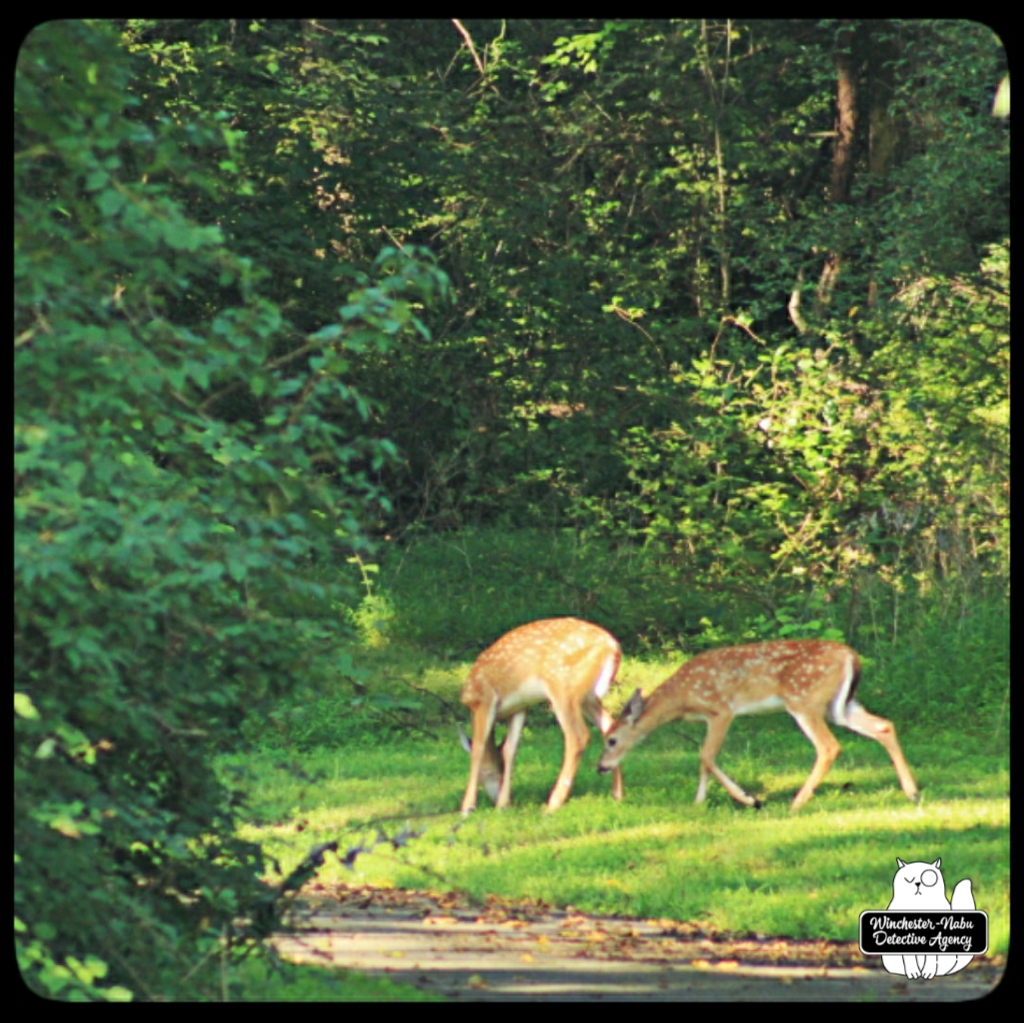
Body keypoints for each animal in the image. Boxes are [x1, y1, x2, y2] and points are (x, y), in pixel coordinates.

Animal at [459, 617, 625, 814]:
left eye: (489, 773)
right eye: (499, 768)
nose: (495, 796)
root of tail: (612, 645)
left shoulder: (484, 701)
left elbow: (477, 749)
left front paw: (467, 807)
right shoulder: (520, 707)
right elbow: (510, 749)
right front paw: (503, 804)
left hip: (562, 684)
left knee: (577, 736)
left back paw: (552, 804)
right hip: (587, 696)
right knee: (610, 726)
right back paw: (618, 795)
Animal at [597, 639, 919, 811]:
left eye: (612, 739)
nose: (601, 767)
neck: (681, 699)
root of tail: (850, 656)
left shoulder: (721, 710)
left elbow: (706, 756)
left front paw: (750, 799)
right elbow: (703, 761)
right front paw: (699, 802)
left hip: (804, 700)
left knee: (829, 746)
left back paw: (796, 802)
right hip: (838, 705)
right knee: (883, 726)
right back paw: (912, 792)